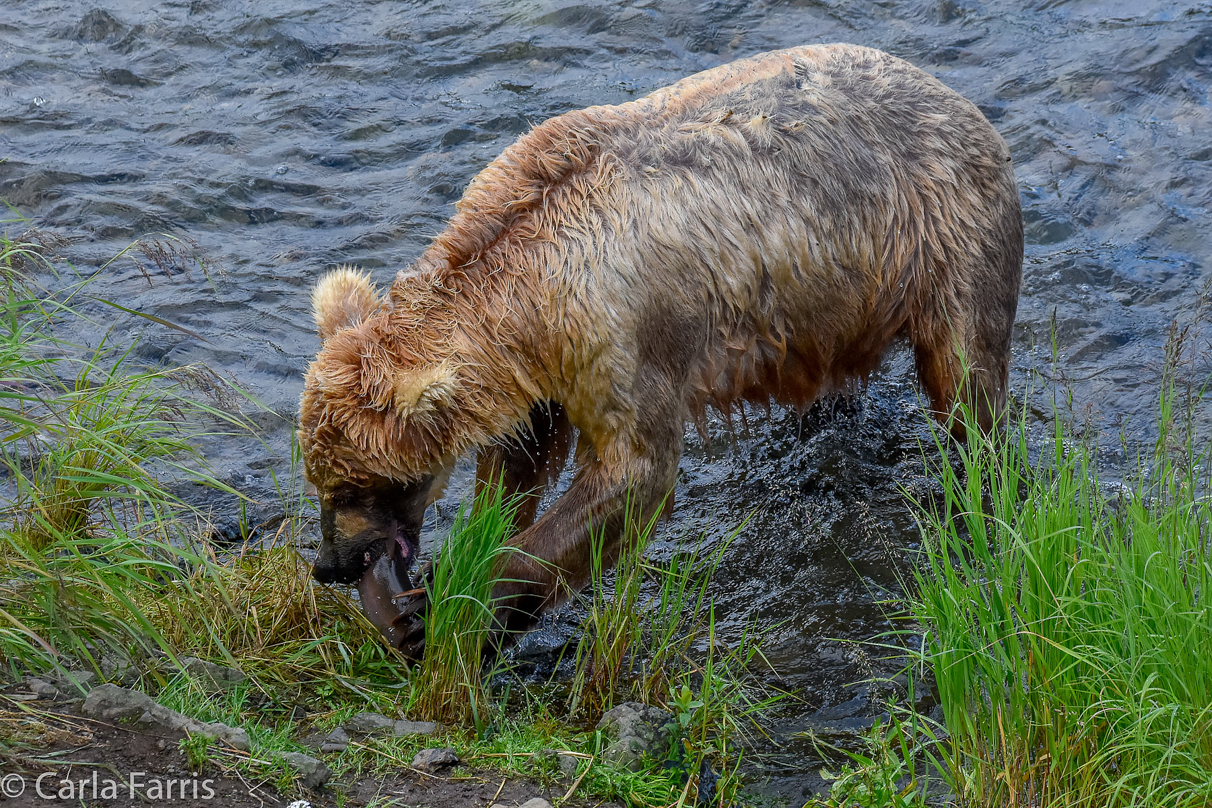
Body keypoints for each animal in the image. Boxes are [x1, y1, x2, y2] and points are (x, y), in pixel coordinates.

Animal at [295, 42, 1022, 658]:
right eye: (320, 478)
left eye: (359, 484)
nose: (330, 564)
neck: (521, 294)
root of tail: (958, 97)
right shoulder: (543, 370)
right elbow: (519, 461)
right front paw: (465, 560)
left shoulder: (615, 333)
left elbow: (631, 474)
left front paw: (455, 598)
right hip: (831, 300)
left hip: (944, 236)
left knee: (966, 381)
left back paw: (973, 485)